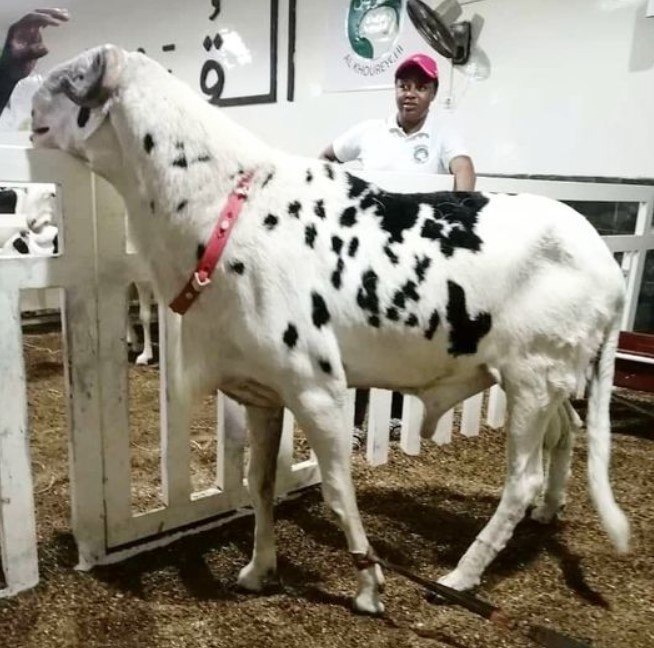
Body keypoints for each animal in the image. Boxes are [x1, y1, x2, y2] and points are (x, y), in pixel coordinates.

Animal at [30, 44, 632, 612]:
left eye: (70, 76)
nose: (29, 101)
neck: (217, 210)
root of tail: (606, 264)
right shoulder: (262, 390)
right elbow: (259, 485)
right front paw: (259, 571)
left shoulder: (315, 387)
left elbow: (339, 493)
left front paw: (368, 588)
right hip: (550, 379)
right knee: (567, 433)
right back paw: (549, 510)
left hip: (532, 377)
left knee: (520, 480)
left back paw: (460, 575)